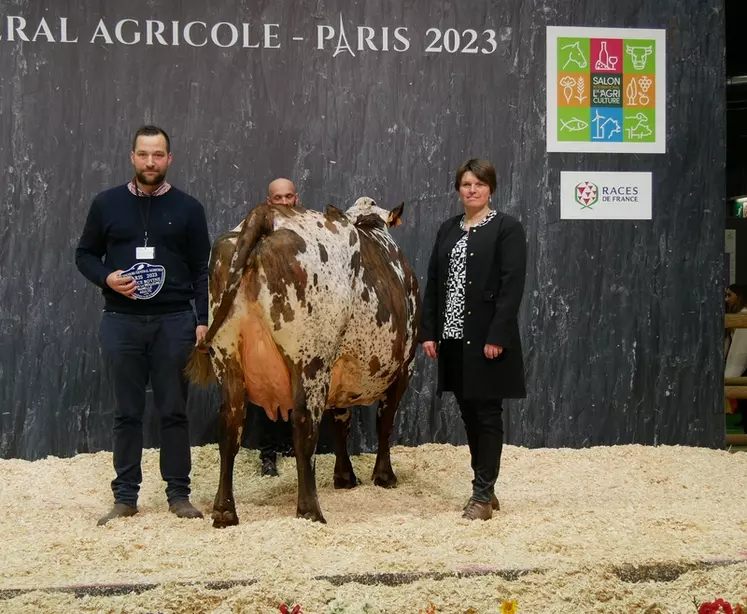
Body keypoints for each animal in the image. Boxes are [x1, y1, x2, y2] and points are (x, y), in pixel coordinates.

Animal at [187, 199, 420, 528]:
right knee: (304, 426)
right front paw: (384, 477)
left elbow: (341, 423)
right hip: (311, 359)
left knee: (230, 425)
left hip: (227, 357)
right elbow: (384, 423)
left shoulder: (340, 374)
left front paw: (345, 477)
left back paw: (224, 511)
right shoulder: (404, 367)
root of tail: (266, 214)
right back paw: (310, 510)